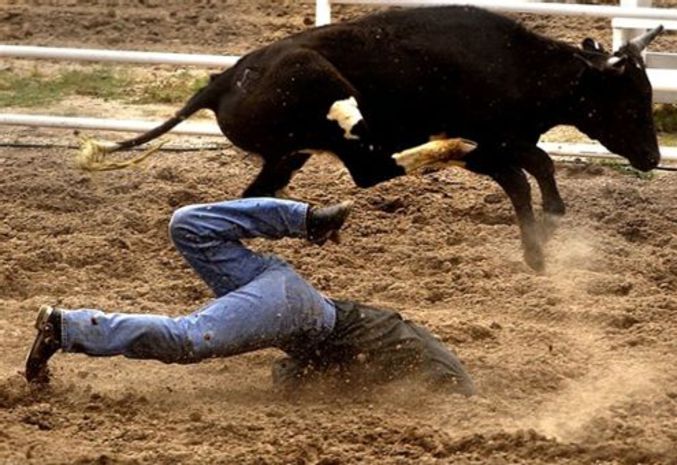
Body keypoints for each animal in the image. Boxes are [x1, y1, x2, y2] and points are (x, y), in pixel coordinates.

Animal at [100, 5, 660, 270]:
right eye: (632, 102)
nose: (654, 157)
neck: (514, 65)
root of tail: (224, 80)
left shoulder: (505, 142)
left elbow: (533, 168)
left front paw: (548, 225)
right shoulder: (494, 141)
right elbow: (526, 171)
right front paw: (539, 245)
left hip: (286, 156)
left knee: (253, 195)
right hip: (326, 96)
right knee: (371, 169)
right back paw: (435, 150)